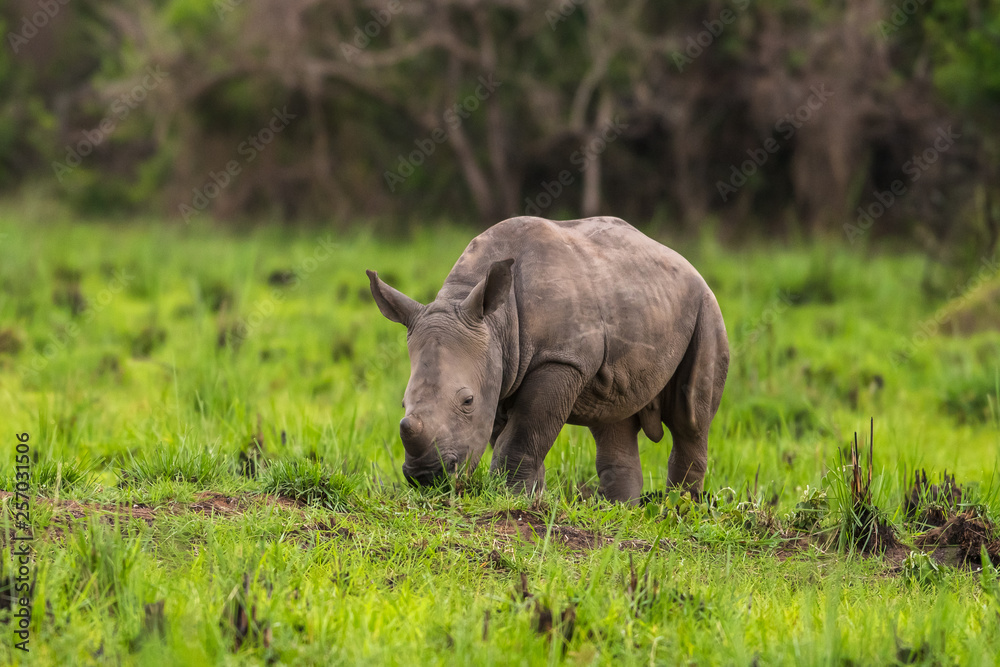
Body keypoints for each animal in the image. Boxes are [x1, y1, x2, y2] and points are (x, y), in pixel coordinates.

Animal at [366, 216, 729, 503]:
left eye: (467, 401)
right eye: (403, 404)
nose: (426, 477)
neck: (495, 321)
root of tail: (684, 261)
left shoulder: (560, 360)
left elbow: (524, 431)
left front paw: (509, 497)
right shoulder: (500, 367)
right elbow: (513, 434)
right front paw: (531, 498)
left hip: (706, 308)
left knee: (690, 418)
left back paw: (679, 507)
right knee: (612, 418)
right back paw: (618, 508)